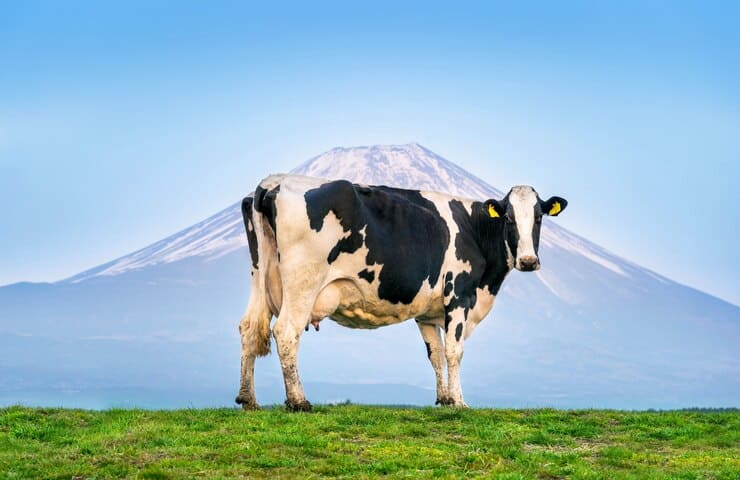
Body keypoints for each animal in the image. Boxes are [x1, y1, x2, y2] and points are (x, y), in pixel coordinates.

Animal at [234, 174, 568, 410]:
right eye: (509, 218)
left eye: (539, 218)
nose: (528, 261)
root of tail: (273, 183)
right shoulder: (458, 295)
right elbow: (454, 351)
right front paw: (460, 402)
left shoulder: (428, 313)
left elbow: (435, 354)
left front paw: (445, 399)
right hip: (303, 281)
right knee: (286, 331)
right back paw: (298, 401)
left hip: (258, 275)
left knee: (249, 327)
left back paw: (248, 399)